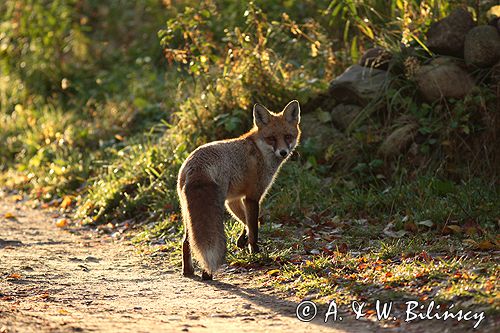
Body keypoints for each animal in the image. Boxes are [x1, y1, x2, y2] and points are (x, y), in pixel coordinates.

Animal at [177, 100, 300, 278]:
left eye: (288, 136)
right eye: (271, 139)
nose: (283, 152)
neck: (259, 150)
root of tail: (197, 165)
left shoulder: (234, 200)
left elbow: (249, 221)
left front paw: (242, 240)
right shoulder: (253, 197)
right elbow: (254, 227)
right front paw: (254, 251)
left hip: (187, 213)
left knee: (187, 241)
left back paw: (188, 271)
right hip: (215, 209)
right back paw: (207, 274)